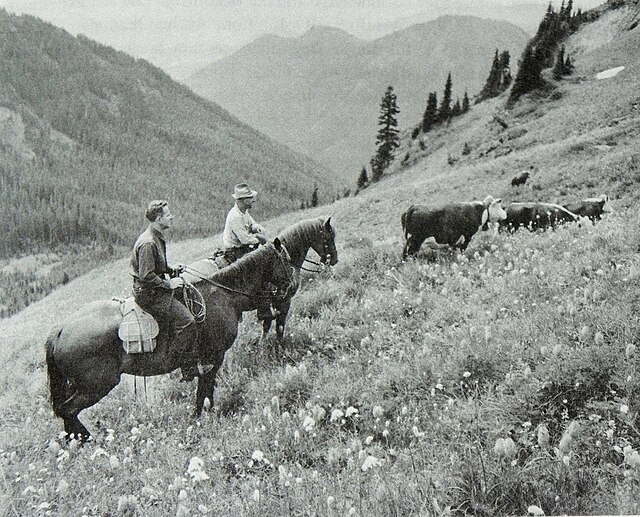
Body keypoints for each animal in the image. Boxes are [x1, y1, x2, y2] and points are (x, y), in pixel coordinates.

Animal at [45, 241, 296, 440]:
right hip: (96, 385)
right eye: (285, 261)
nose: (292, 286)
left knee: (65, 411)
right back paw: (85, 439)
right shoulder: (214, 356)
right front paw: (203, 415)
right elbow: (205, 390)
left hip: (77, 385)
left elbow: (205, 390)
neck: (224, 296)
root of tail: (60, 331)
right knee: (68, 410)